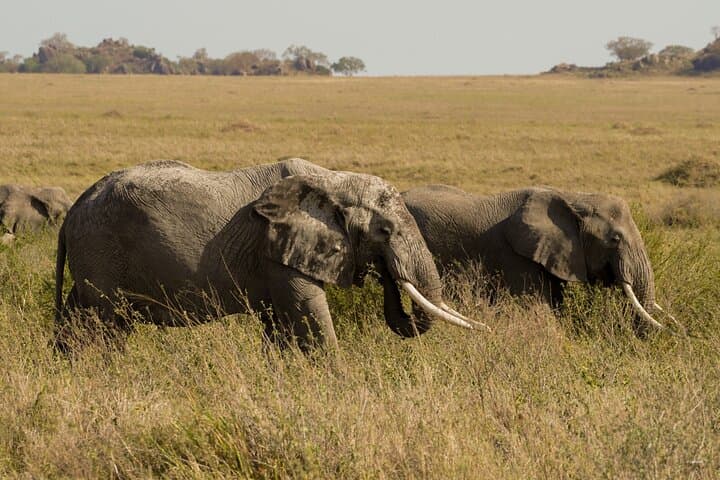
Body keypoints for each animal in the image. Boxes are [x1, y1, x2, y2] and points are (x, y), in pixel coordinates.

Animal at [55, 159, 482, 352]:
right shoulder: (277, 248)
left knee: (78, 315)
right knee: (103, 322)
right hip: (100, 249)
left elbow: (280, 324)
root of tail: (74, 210)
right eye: (385, 231)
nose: (384, 272)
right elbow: (310, 315)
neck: (333, 181)